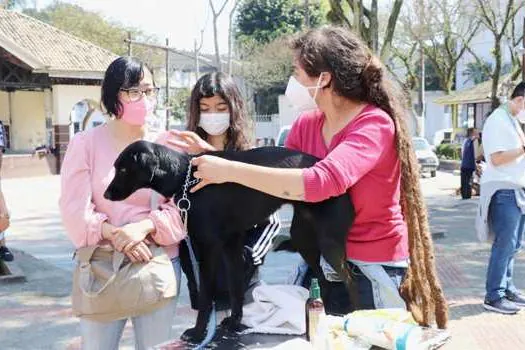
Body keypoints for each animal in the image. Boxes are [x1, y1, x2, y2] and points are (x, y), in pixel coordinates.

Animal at [102, 139, 356, 342]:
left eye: (122, 169)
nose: (105, 195)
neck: (187, 176)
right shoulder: (231, 243)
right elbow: (235, 288)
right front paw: (235, 322)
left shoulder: (209, 248)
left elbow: (206, 297)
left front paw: (198, 333)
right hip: (304, 240)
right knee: (324, 280)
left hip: (328, 244)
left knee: (350, 280)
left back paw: (356, 316)